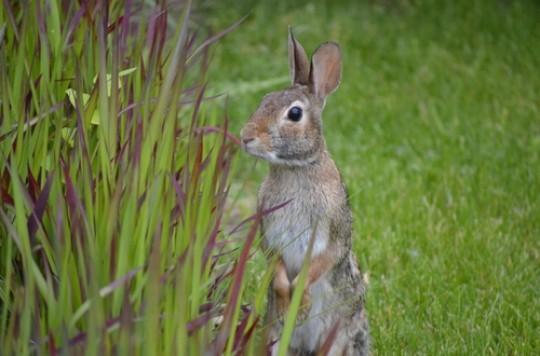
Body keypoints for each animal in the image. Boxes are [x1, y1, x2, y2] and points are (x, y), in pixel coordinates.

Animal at [243, 28, 370, 356]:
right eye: (264, 99)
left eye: (295, 113)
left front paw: (300, 306)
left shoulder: (332, 235)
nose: (245, 137)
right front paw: (289, 305)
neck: (297, 167)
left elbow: (316, 267)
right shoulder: (270, 237)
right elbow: (277, 270)